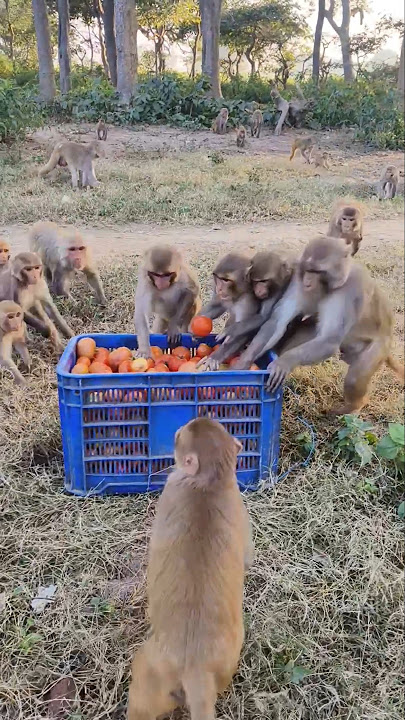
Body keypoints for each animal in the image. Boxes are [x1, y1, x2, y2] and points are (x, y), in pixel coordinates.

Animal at [127, 418, 253, 720]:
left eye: (177, 437)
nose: (174, 432)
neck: (210, 481)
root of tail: (196, 667)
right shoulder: (240, 504)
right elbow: (247, 558)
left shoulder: (171, 489)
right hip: (227, 663)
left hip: (151, 671)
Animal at [231, 236, 404, 414]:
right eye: (308, 269)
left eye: (317, 271)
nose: (307, 280)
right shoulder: (297, 278)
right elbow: (278, 321)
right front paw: (243, 363)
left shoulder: (351, 289)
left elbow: (329, 340)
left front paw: (284, 362)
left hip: (378, 348)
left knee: (354, 379)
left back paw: (353, 407)